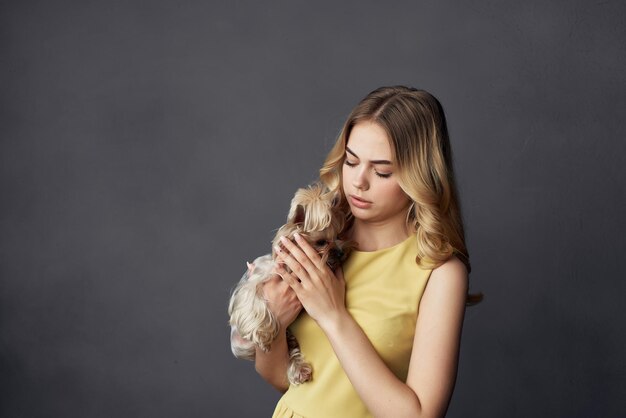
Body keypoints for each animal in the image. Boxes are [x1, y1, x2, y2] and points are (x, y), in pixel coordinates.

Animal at [228, 183, 352, 386]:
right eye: (321, 242)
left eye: (339, 235)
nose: (341, 253)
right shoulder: (251, 284)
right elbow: (254, 303)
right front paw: (263, 335)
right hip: (240, 346)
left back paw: (299, 369)